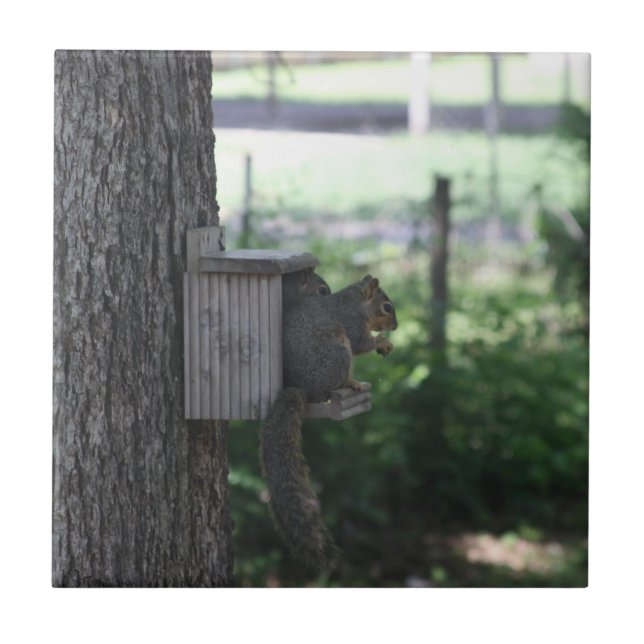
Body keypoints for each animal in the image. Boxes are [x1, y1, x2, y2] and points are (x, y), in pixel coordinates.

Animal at [260, 275, 397, 574]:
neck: (356, 304)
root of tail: (300, 388)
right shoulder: (352, 327)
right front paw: (381, 342)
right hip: (336, 351)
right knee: (335, 381)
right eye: (387, 307)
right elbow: (362, 344)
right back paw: (352, 383)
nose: (396, 327)